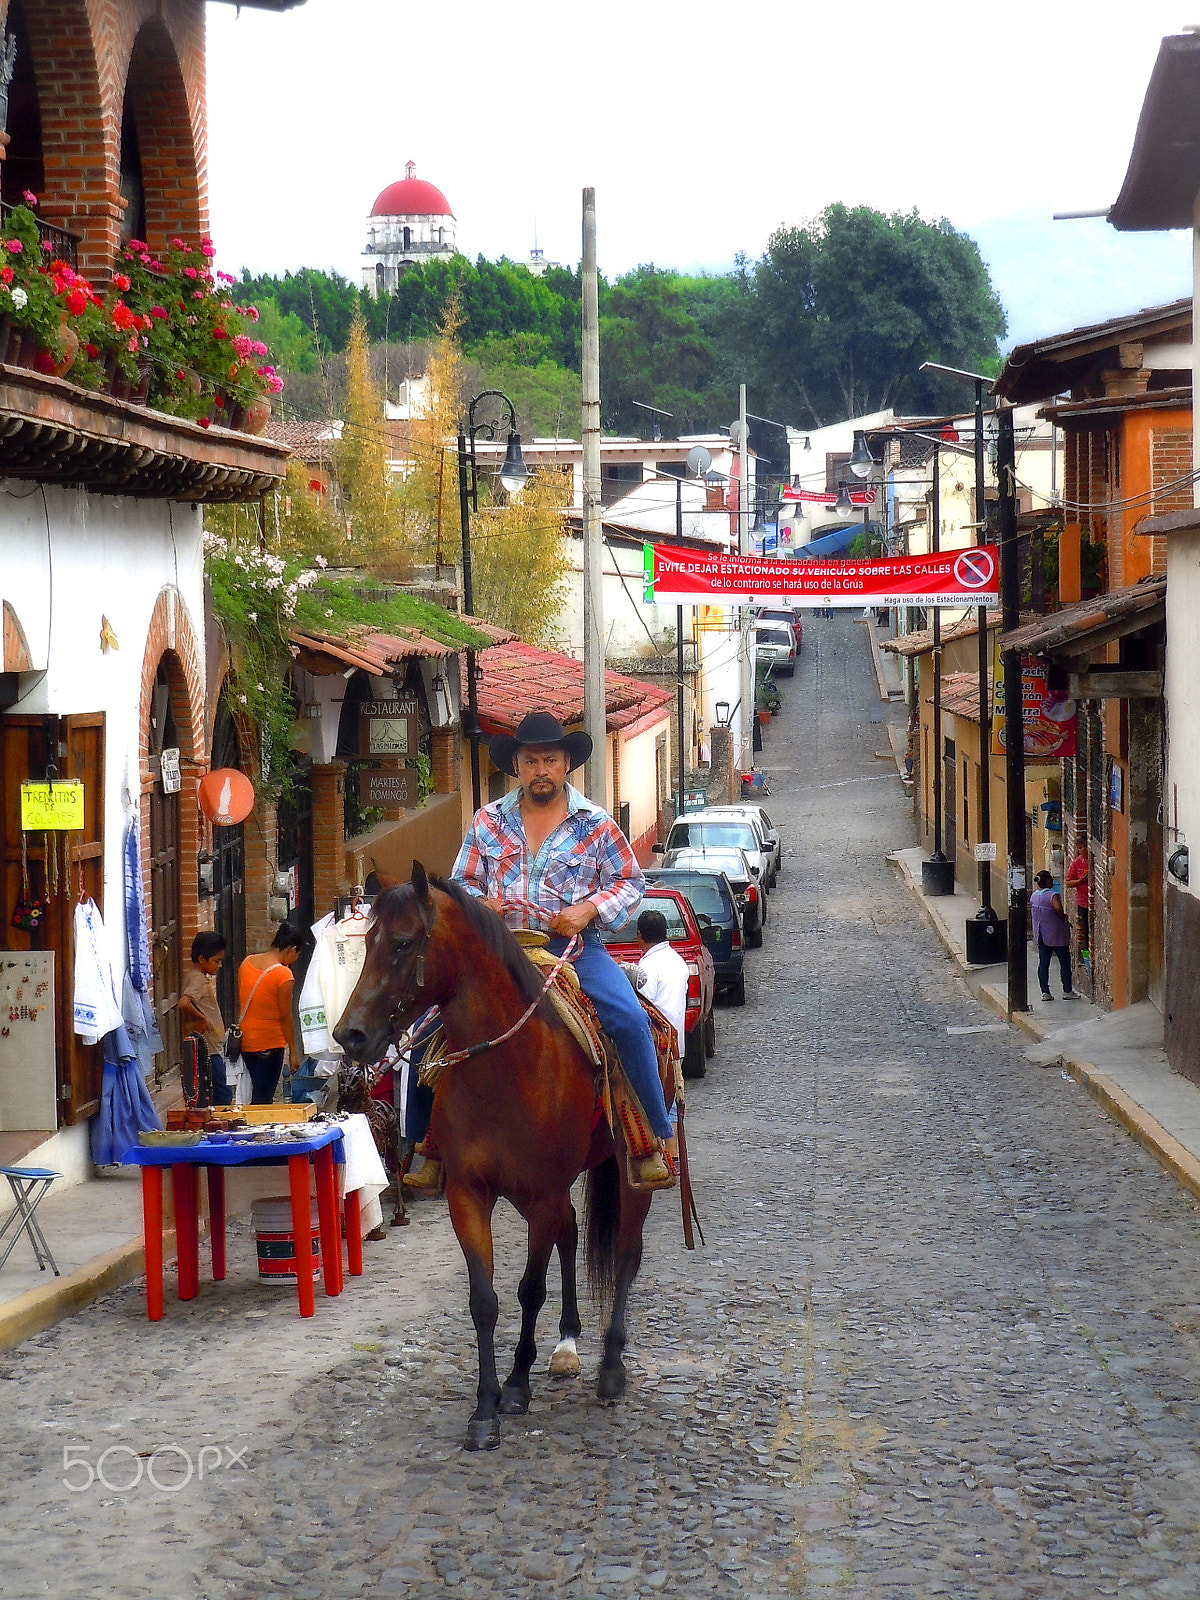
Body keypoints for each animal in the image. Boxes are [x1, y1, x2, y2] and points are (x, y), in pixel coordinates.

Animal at [334, 864, 662, 1452]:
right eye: (365, 942)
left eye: (403, 943)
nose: (350, 1035)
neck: (507, 1068)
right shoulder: (468, 1193)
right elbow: (484, 1300)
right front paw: (485, 1407)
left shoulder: (542, 1192)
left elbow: (530, 1289)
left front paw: (515, 1385)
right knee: (571, 1232)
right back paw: (567, 1344)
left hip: (627, 1178)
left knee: (626, 1255)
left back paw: (609, 1366)